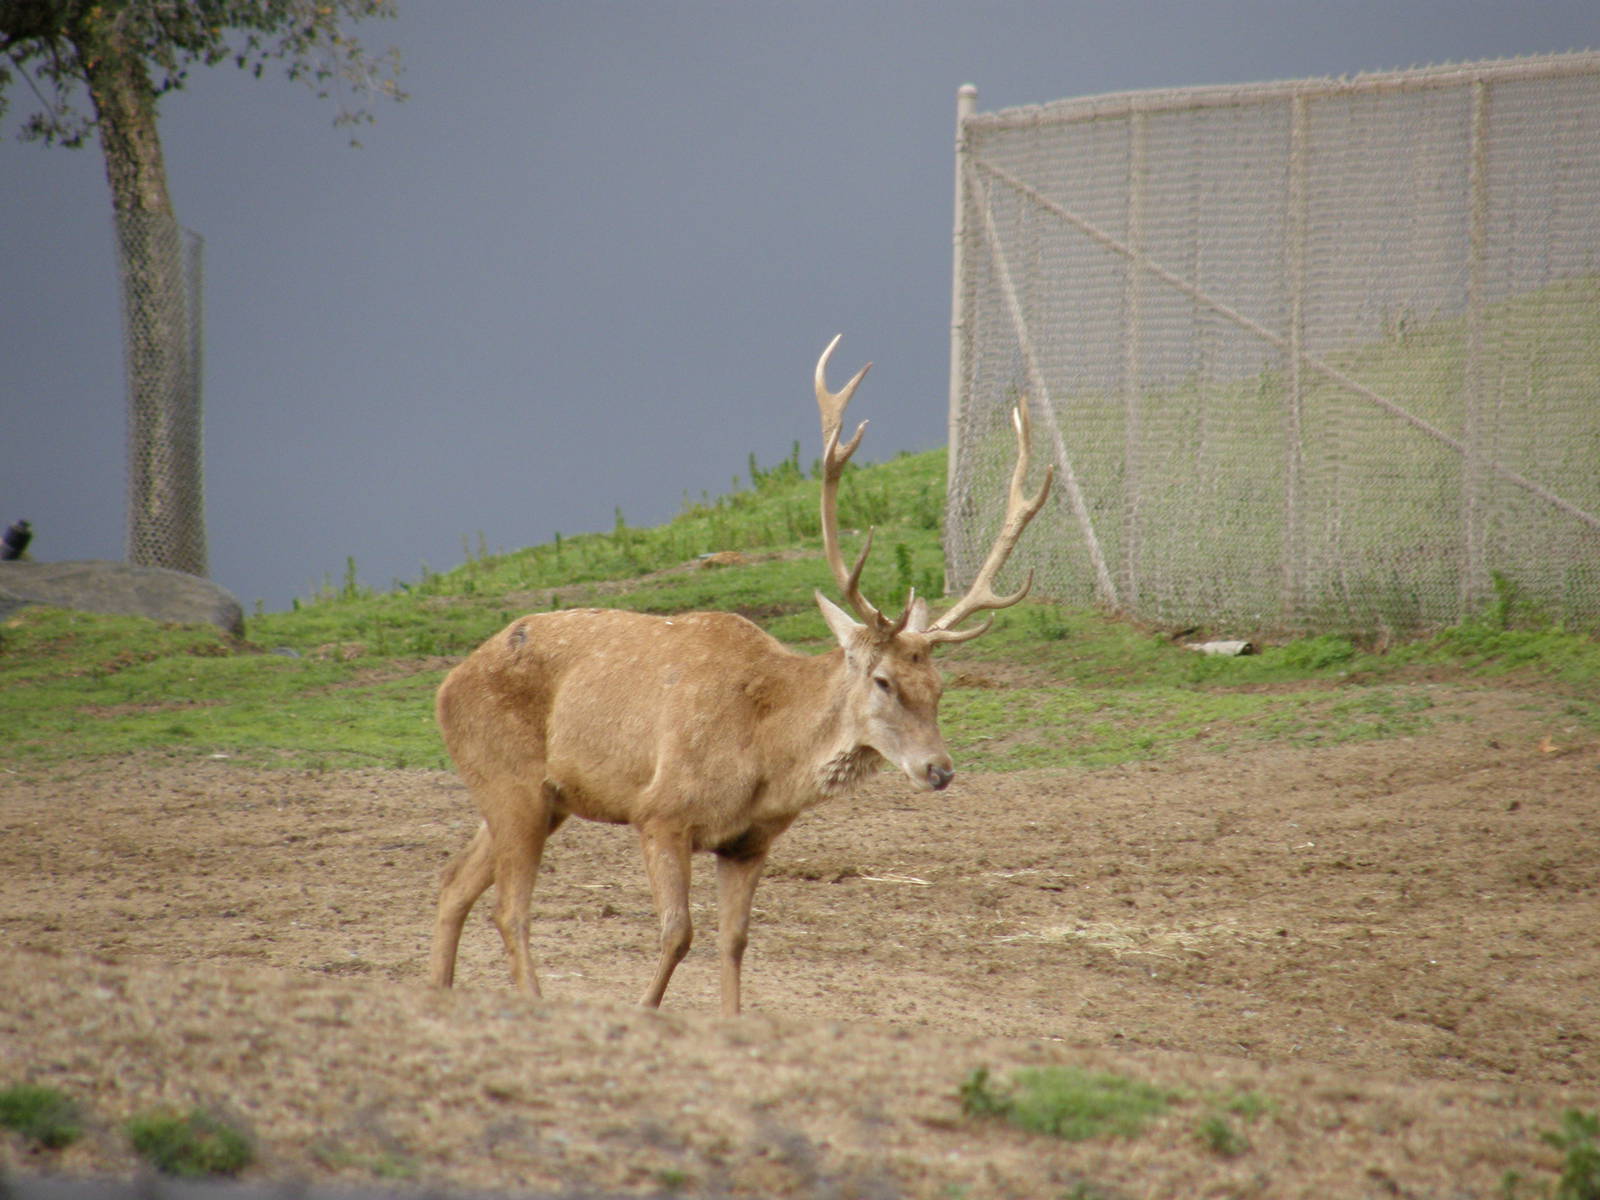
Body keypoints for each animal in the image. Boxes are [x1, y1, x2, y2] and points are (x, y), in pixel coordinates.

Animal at [428, 335, 1052, 1016]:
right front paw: (644, 1011)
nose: (940, 770)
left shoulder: (750, 841)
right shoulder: (660, 813)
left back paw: (436, 991)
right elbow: (678, 933)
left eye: (940, 687)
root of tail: (445, 686)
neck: (764, 757)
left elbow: (734, 941)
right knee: (509, 909)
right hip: (509, 781)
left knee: (453, 882)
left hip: (542, 797)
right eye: (884, 681)